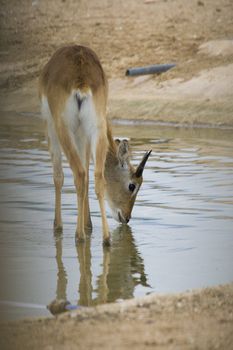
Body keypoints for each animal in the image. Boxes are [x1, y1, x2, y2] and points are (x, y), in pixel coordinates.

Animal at [38, 45, 151, 245]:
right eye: (132, 185)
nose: (127, 218)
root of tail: (81, 78)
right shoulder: (85, 135)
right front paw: (88, 224)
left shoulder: (50, 125)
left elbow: (59, 177)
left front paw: (58, 227)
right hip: (96, 128)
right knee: (97, 177)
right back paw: (105, 238)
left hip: (63, 128)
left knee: (79, 174)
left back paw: (79, 235)